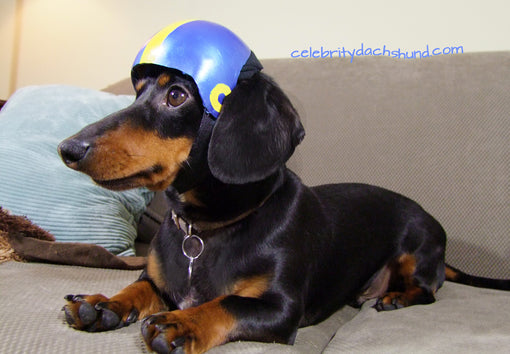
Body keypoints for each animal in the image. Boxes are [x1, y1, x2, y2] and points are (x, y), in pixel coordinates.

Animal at [58, 67, 506, 354]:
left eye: (177, 96)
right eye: (138, 93)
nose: (67, 149)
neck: (206, 228)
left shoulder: (280, 309)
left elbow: (226, 303)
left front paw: (183, 322)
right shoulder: (159, 282)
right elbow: (138, 287)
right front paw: (103, 304)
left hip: (418, 245)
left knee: (428, 292)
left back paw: (397, 297)